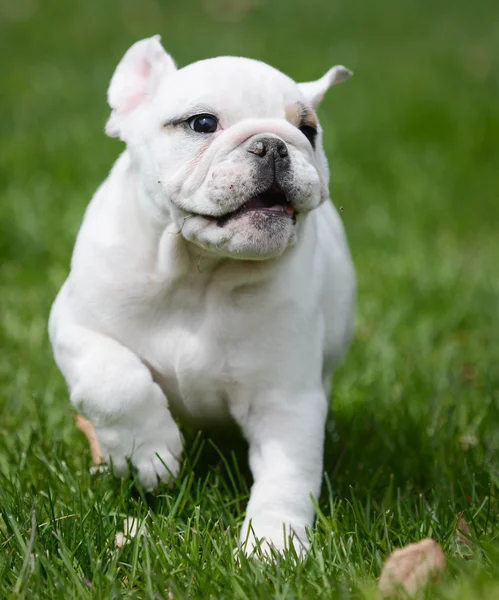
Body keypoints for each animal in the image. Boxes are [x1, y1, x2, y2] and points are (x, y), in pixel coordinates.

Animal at [48, 35, 358, 556]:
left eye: (308, 130)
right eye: (203, 124)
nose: (275, 144)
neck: (198, 272)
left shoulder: (285, 399)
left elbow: (288, 474)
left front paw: (273, 545)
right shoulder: (76, 324)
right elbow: (113, 381)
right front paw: (146, 453)